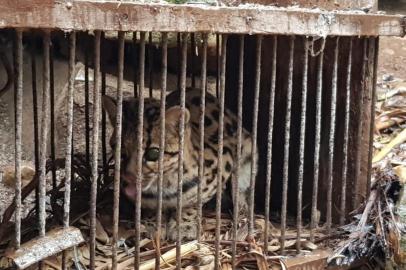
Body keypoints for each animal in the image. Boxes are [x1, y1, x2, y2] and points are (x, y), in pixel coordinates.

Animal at [103, 88, 258, 240]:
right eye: (119, 150)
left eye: (153, 153)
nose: (128, 176)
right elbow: (150, 208)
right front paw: (152, 223)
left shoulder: (222, 162)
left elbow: (191, 204)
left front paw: (183, 225)